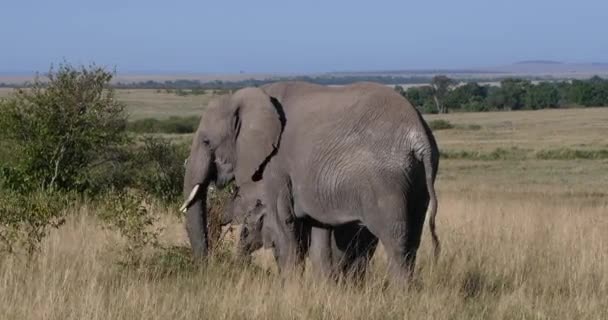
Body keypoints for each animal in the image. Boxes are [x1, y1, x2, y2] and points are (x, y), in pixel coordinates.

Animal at [178, 82, 440, 282]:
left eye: (206, 142)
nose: (207, 268)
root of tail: (420, 136)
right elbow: (317, 232)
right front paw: (319, 286)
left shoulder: (275, 166)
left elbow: (283, 223)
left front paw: (290, 288)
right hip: (415, 178)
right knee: (412, 237)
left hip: (386, 180)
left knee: (395, 238)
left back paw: (399, 294)